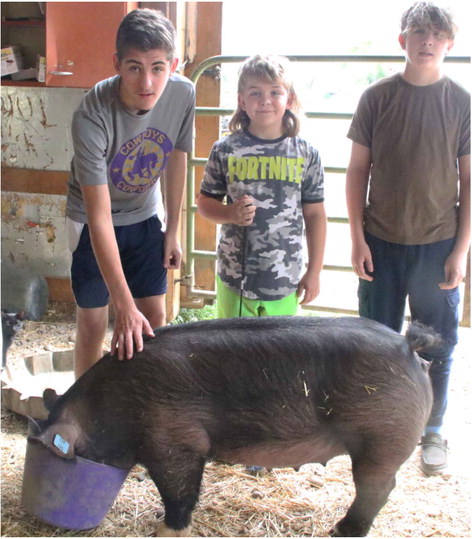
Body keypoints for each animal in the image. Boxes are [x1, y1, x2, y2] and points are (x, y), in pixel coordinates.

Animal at [36, 316, 436, 536]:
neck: (112, 403)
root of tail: (407, 346)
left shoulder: (177, 440)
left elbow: (179, 491)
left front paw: (163, 530)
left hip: (382, 437)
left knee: (378, 489)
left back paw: (339, 531)